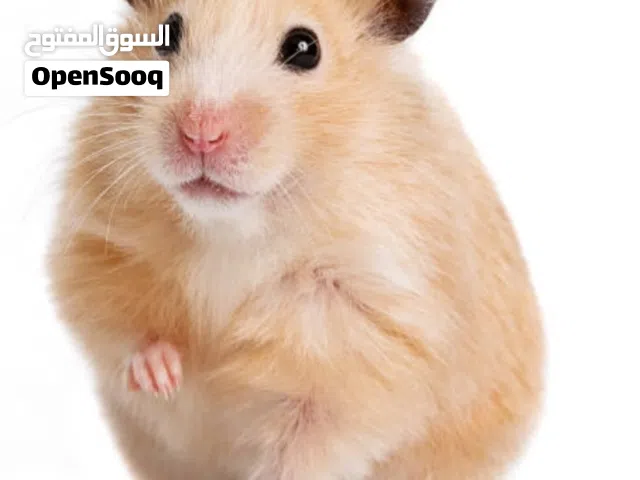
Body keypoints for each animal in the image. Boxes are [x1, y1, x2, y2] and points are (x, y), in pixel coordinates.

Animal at [47, 0, 544, 479]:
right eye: (167, 34)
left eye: (305, 49)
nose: (200, 134)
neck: (233, 228)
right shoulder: (94, 241)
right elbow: (117, 326)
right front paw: (163, 376)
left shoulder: (364, 334)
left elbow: (307, 443)